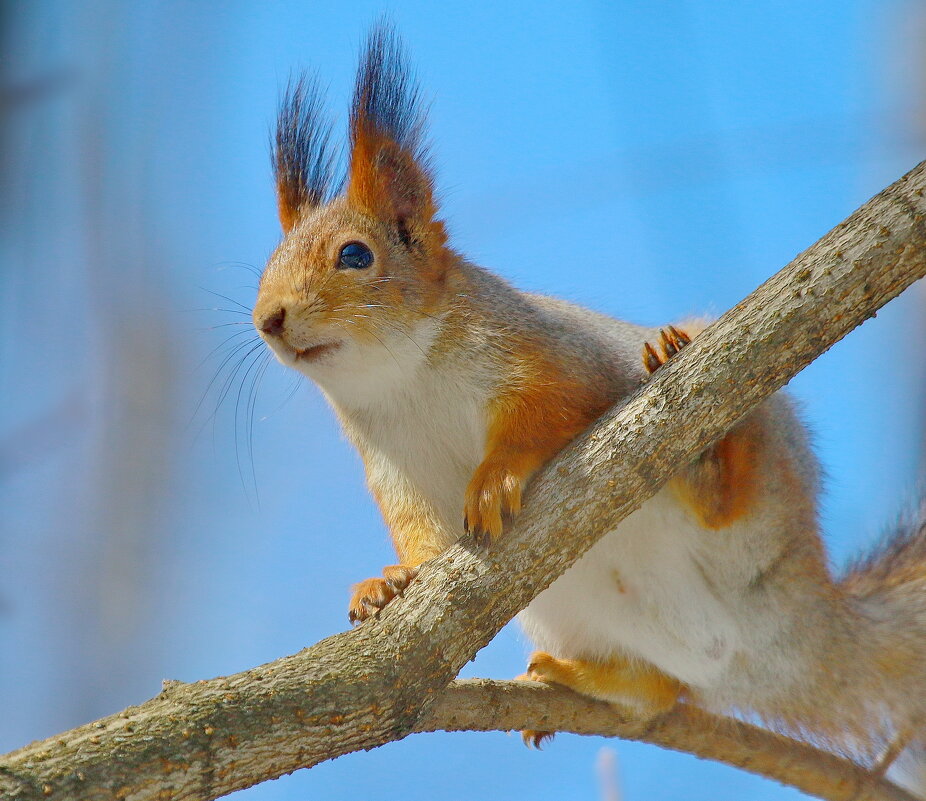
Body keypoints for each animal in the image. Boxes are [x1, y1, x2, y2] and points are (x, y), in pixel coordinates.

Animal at [250, 25, 926, 760]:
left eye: (355, 256)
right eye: (267, 263)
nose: (268, 318)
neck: (405, 380)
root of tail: (804, 627)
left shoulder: (550, 355)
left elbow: (550, 409)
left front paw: (495, 477)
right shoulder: (391, 466)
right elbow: (418, 533)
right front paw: (391, 584)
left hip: (760, 491)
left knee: (731, 504)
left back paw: (705, 458)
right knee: (655, 695)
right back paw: (576, 676)